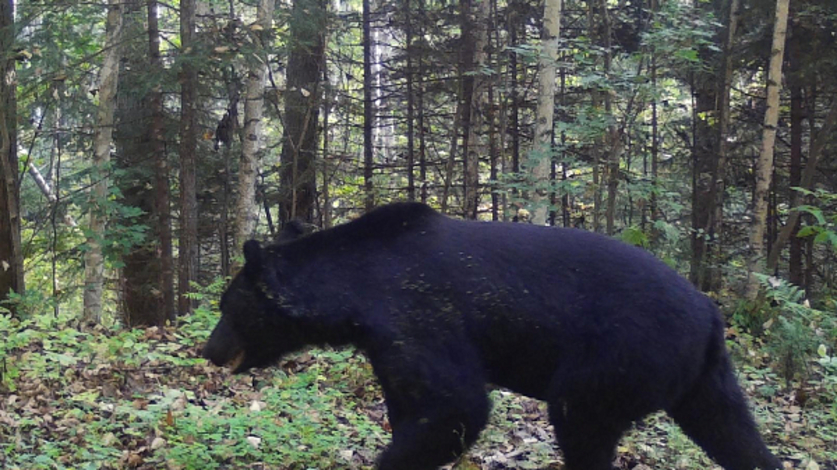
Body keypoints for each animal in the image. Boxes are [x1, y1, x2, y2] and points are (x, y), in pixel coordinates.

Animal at [206, 204, 780, 470]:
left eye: (225, 306)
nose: (208, 349)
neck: (355, 291)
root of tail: (710, 314)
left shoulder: (419, 315)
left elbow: (456, 405)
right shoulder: (386, 344)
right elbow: (413, 405)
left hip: (620, 356)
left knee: (581, 420)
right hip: (703, 378)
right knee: (734, 433)